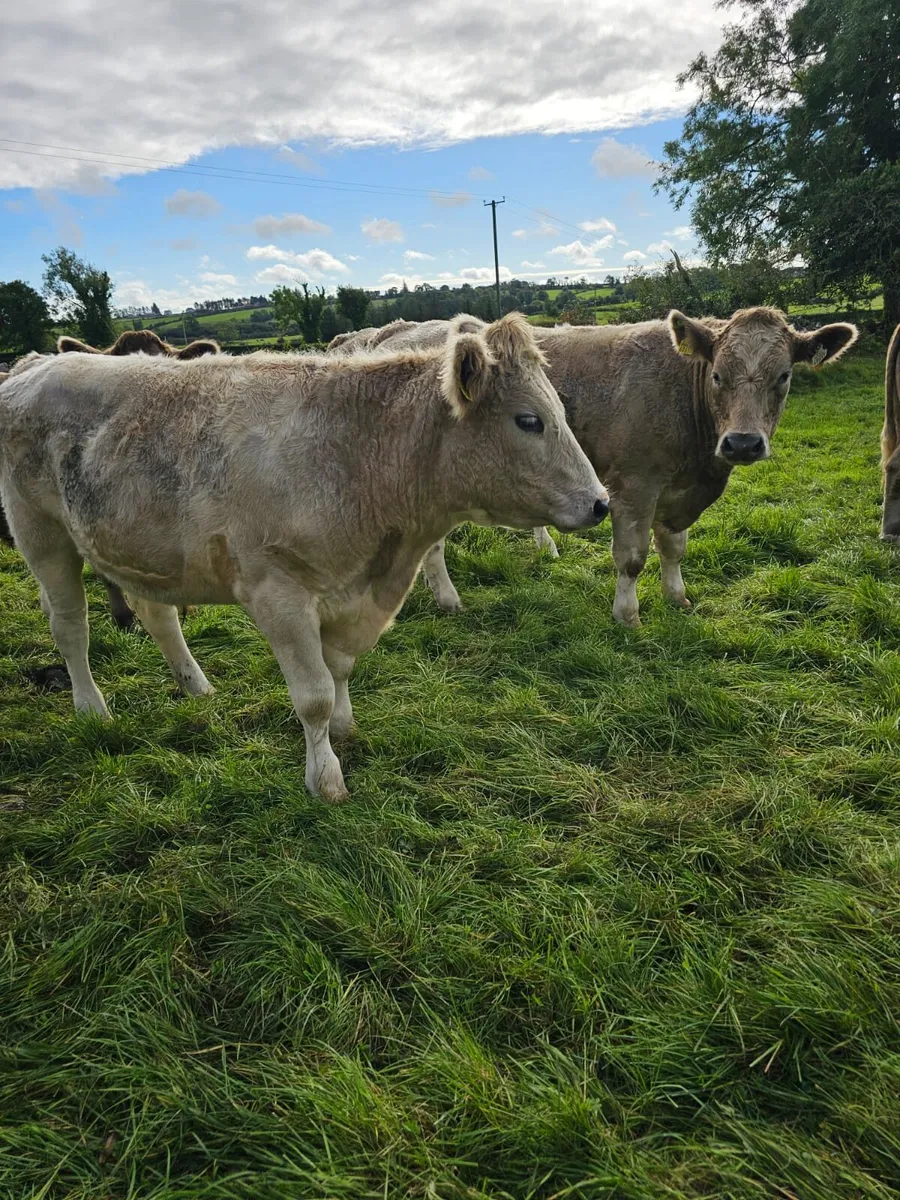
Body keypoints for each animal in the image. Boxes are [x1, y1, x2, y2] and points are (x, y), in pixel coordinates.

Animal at [0, 314, 608, 802]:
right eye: (528, 420)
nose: (601, 503)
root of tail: (34, 365)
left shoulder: (351, 590)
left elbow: (338, 672)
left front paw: (344, 728)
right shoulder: (279, 593)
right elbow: (312, 695)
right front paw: (326, 779)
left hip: (142, 546)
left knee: (158, 614)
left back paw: (195, 685)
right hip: (41, 534)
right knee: (70, 625)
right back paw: (92, 708)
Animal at [343, 309, 858, 623]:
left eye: (783, 377)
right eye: (717, 375)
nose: (744, 443)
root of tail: (393, 330)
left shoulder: (679, 492)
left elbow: (674, 549)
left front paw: (677, 597)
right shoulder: (634, 485)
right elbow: (632, 557)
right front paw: (627, 615)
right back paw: (447, 597)